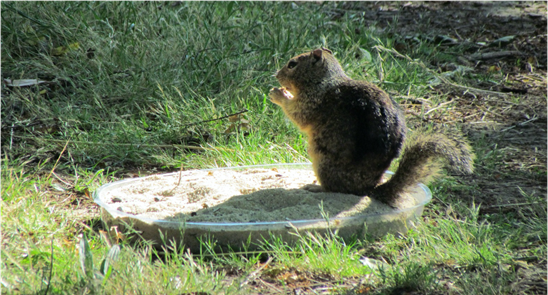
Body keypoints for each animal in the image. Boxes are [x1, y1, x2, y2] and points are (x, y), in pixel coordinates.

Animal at [270, 48, 476, 206]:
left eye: (292, 64)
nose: (276, 75)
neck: (323, 81)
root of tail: (367, 189)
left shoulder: (313, 102)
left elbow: (298, 114)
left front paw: (278, 94)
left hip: (323, 161)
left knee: (336, 190)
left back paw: (315, 187)